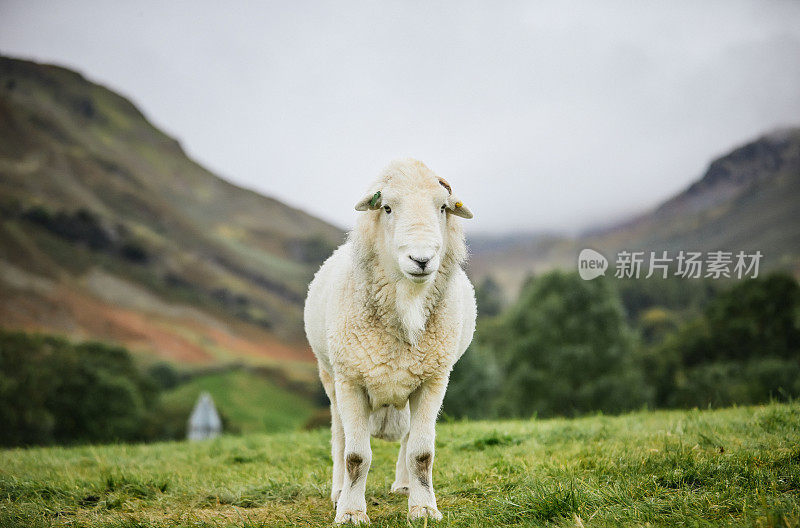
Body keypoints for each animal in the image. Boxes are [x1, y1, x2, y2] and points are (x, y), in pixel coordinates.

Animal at [300, 158, 476, 524]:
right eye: (387, 208)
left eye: (442, 207)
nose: (421, 260)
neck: (408, 302)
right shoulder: (350, 380)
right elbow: (356, 456)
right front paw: (351, 512)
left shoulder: (434, 379)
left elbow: (422, 452)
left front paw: (424, 509)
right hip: (330, 376)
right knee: (339, 437)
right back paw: (338, 492)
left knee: (409, 440)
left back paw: (405, 485)